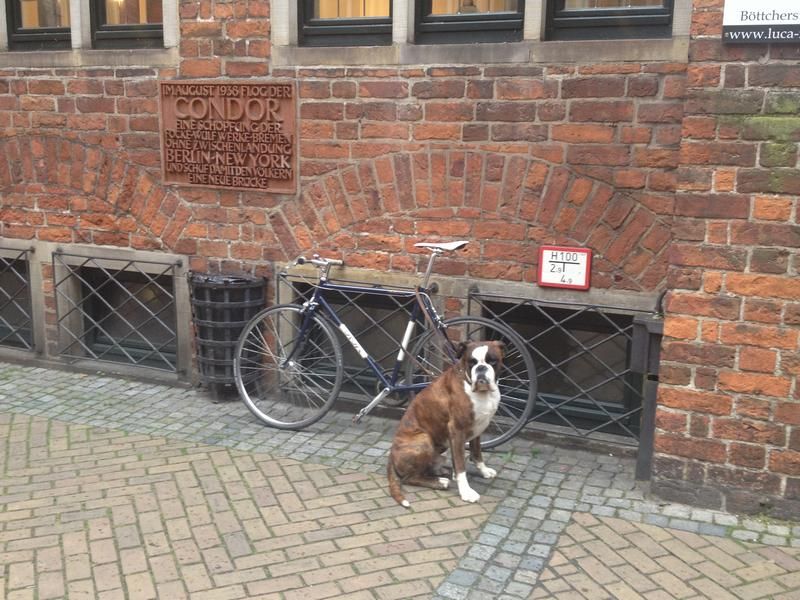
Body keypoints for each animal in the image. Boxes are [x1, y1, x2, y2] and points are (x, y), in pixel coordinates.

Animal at [386, 342, 504, 506]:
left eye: (492, 361)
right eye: (471, 362)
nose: (481, 368)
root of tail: (391, 455)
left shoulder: (477, 429)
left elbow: (477, 453)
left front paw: (484, 471)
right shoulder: (457, 430)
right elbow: (461, 466)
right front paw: (466, 492)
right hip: (423, 439)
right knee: (409, 478)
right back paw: (440, 482)